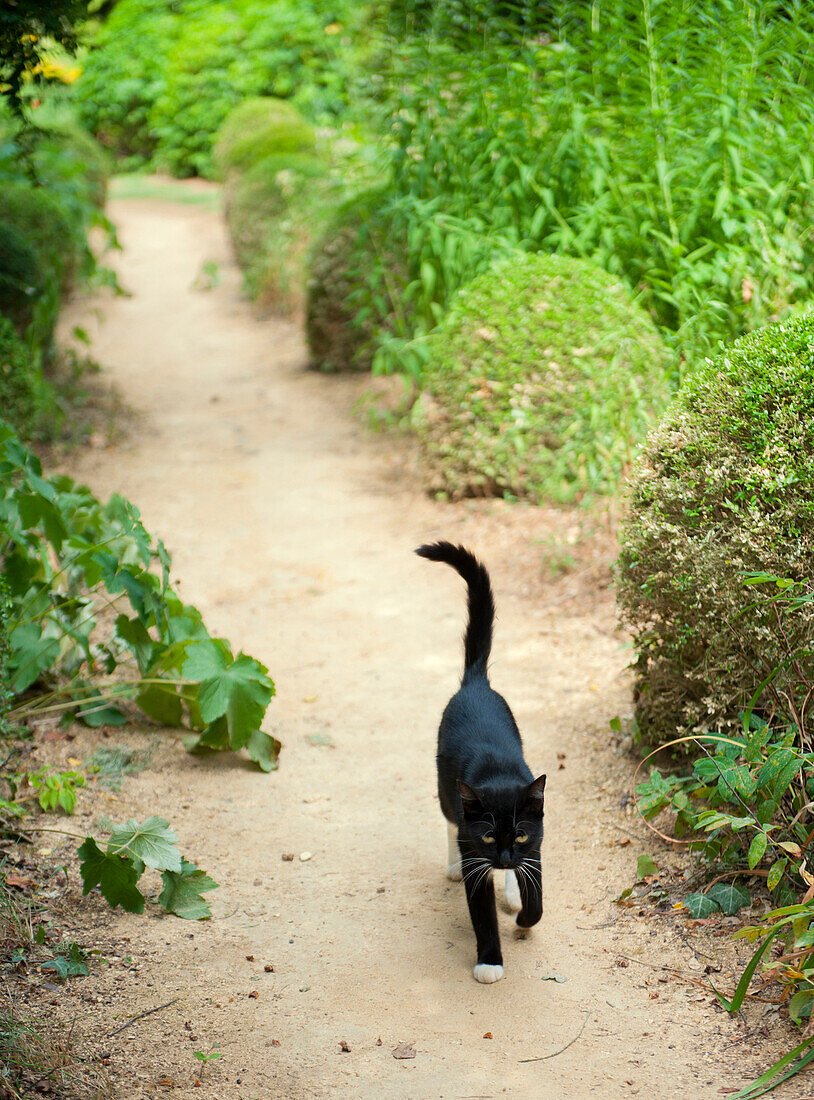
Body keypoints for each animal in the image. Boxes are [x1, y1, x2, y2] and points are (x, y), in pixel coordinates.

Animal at [415, 541, 543, 981]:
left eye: (518, 835)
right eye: (488, 837)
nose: (503, 859)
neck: (498, 772)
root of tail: (475, 682)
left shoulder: (536, 842)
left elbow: (536, 896)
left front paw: (524, 916)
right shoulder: (476, 852)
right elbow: (482, 913)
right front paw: (490, 961)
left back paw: (512, 893)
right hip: (445, 786)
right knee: (450, 817)